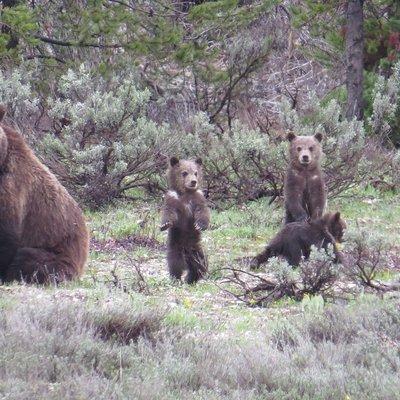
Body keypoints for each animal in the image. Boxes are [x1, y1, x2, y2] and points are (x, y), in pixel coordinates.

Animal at [160, 156, 211, 284]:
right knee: (174, 262)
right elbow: (169, 212)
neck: (185, 193)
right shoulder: (173, 199)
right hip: (175, 245)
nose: (193, 182)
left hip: (196, 249)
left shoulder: (198, 199)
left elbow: (202, 211)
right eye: (184, 173)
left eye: (196, 172)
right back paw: (177, 278)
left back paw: (192, 278)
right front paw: (165, 224)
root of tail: (186, 251)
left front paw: (200, 225)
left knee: (200, 264)